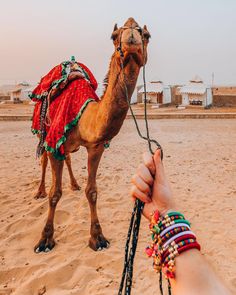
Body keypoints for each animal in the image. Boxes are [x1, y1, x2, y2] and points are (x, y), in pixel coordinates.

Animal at [34, 17, 150, 253]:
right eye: (113, 36)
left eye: (147, 35)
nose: (131, 32)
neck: (84, 117)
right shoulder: (54, 141)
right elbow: (54, 194)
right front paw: (45, 239)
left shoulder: (95, 147)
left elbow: (92, 191)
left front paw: (97, 237)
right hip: (44, 133)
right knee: (43, 159)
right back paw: (39, 190)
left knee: (68, 158)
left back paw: (74, 184)